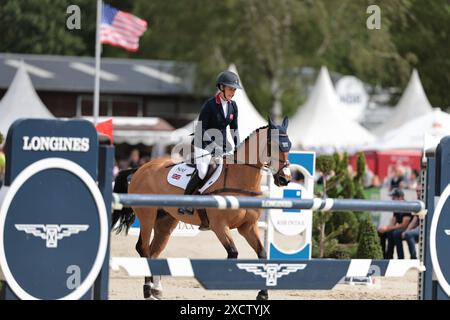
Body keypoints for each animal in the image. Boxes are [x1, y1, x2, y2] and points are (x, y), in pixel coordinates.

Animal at [113, 117, 292, 300]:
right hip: (147, 216)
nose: (284, 179)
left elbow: (262, 254)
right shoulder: (219, 226)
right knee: (143, 248)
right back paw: (148, 289)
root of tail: (141, 168)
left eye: (289, 146)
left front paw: (263, 294)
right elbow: (233, 253)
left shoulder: (248, 226)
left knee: (154, 251)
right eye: (273, 144)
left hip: (165, 221)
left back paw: (157, 289)